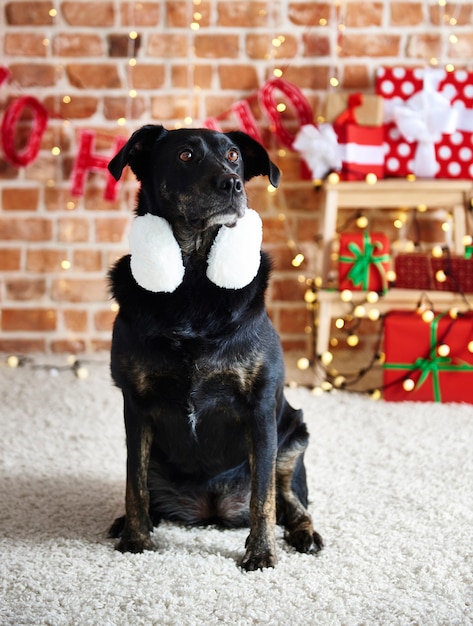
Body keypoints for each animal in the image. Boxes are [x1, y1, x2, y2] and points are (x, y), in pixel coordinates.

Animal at [106, 124, 322, 568]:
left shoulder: (260, 407)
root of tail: (211, 509)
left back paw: (304, 533)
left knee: (291, 498)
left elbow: (263, 497)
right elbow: (134, 483)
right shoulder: (135, 404)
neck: (192, 281)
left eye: (234, 155)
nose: (233, 183)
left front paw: (261, 554)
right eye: (186, 155)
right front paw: (135, 540)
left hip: (294, 436)